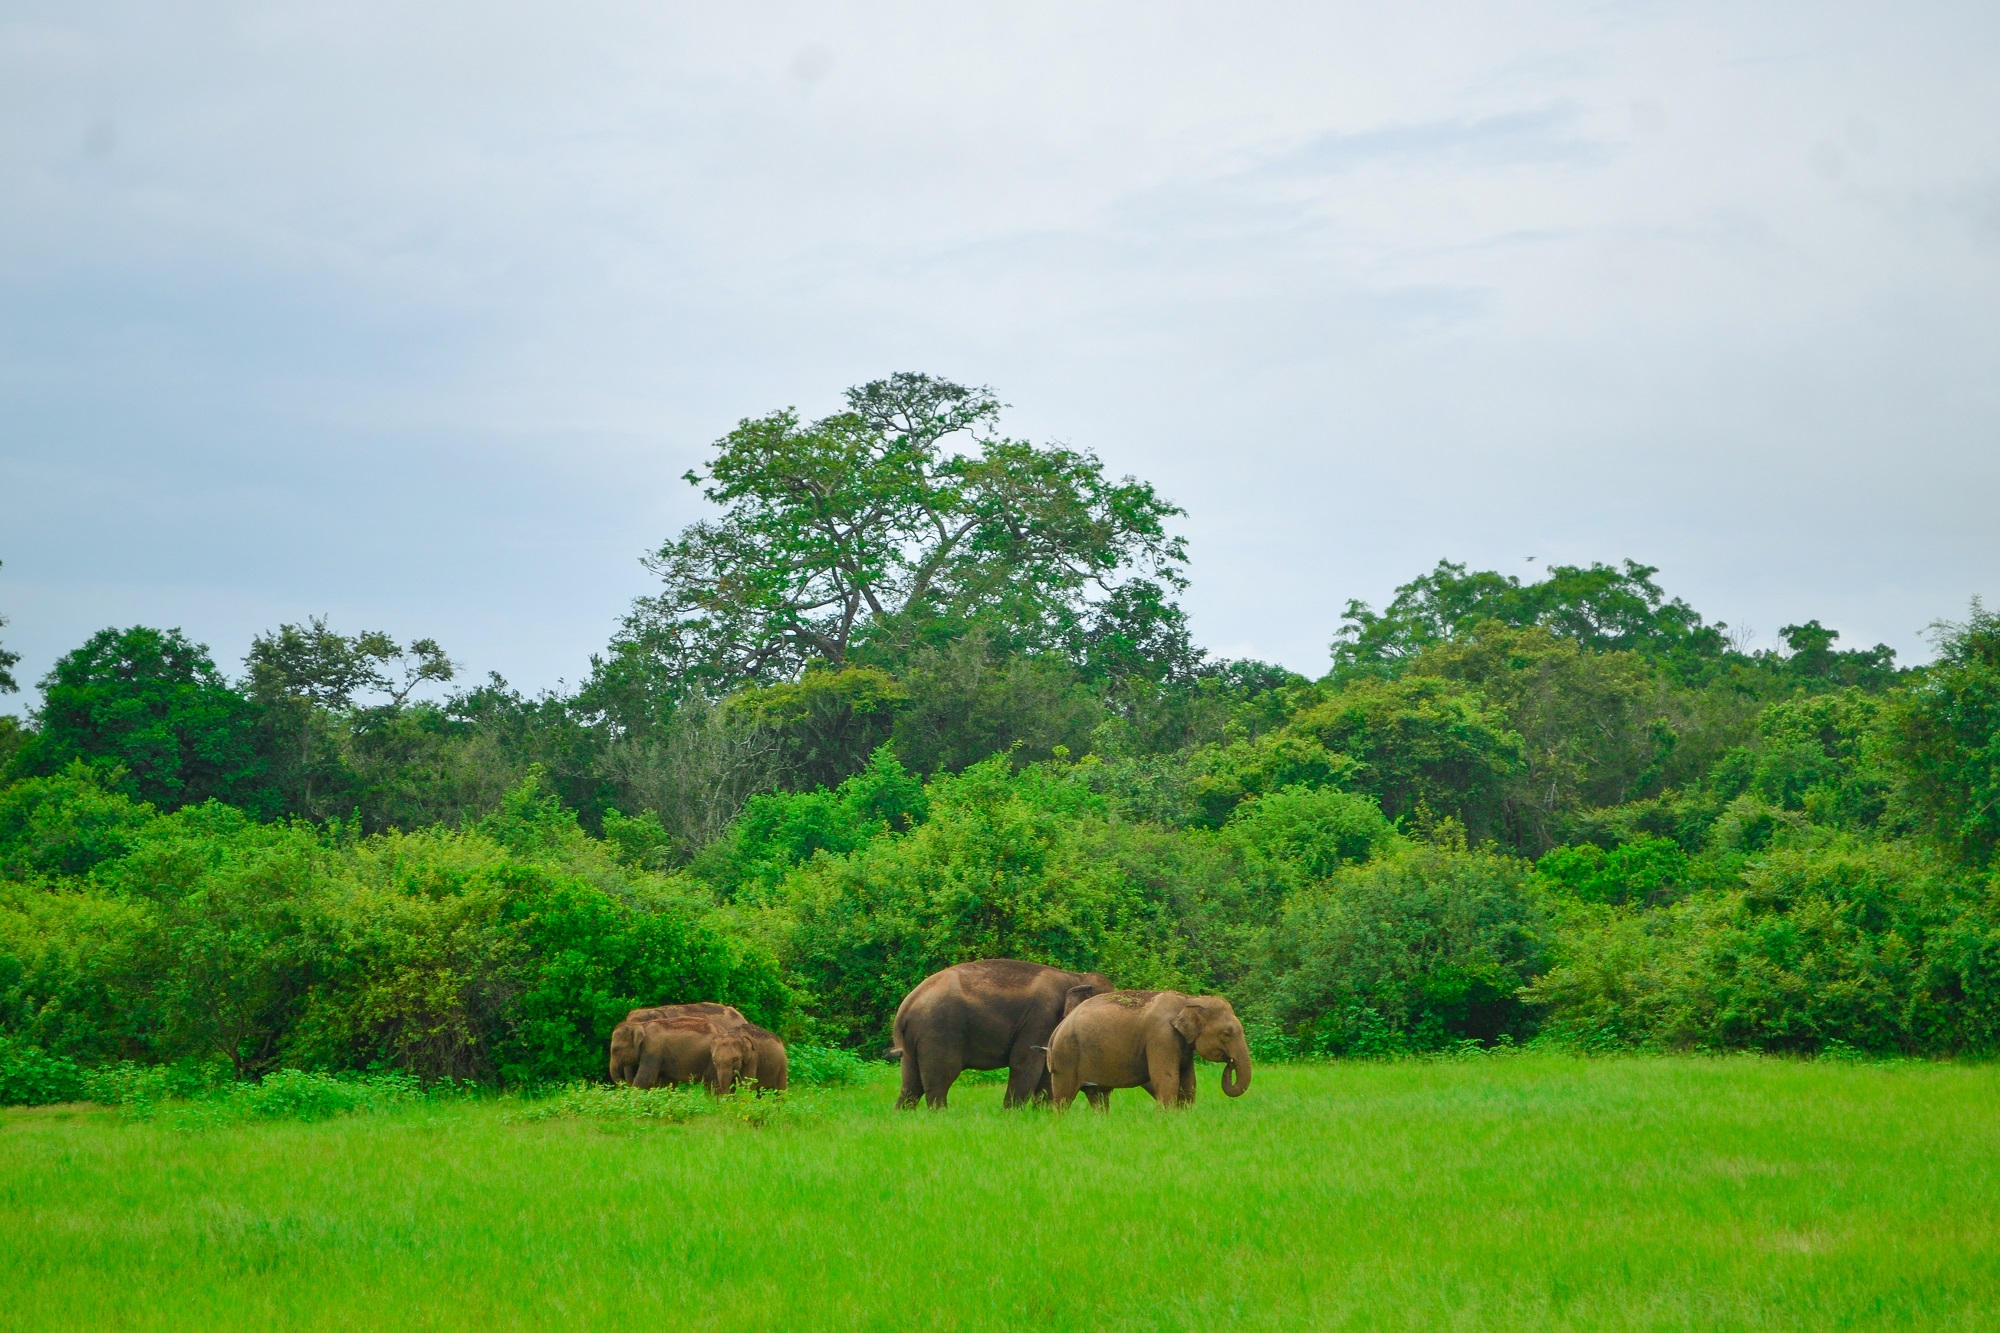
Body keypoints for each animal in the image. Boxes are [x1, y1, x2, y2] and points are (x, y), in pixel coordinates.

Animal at [888, 948, 1120, 1104]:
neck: (1075, 977)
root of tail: (907, 1004)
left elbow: (1049, 1071)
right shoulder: (1040, 1018)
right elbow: (1025, 1064)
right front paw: (1013, 1116)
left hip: (913, 1040)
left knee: (910, 1086)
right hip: (938, 1032)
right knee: (939, 1083)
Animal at [1048, 992, 1248, 1104]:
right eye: (1227, 1033)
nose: (1230, 1062)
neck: (1189, 999)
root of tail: (1057, 1030)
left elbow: (1189, 1081)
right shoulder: (1161, 1038)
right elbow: (1168, 1079)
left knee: (1098, 1097)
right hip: (1065, 1058)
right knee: (1063, 1098)